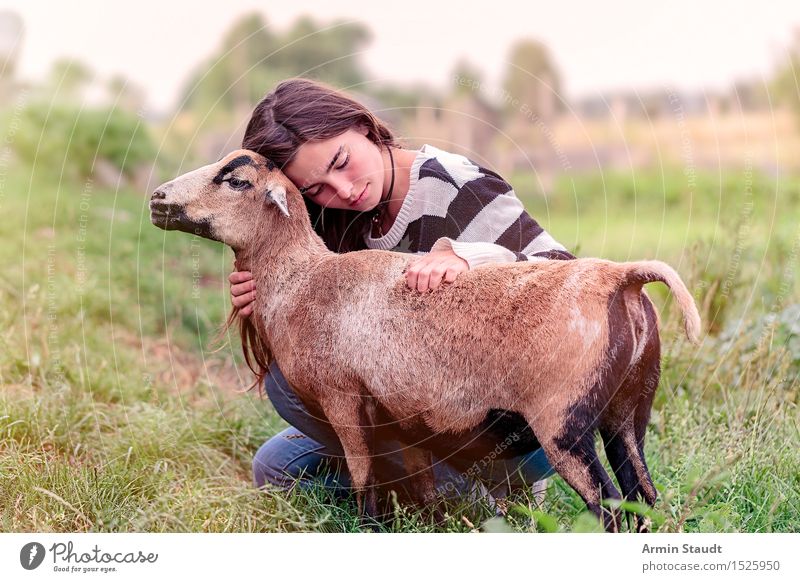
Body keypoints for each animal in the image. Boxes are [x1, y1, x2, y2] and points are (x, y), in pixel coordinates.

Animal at [150, 151, 700, 532]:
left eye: (237, 180)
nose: (157, 199)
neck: (303, 279)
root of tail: (622, 279)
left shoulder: (344, 400)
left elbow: (364, 479)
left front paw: (369, 528)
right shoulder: (404, 420)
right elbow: (419, 484)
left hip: (563, 423)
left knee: (609, 510)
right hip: (628, 412)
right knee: (644, 498)